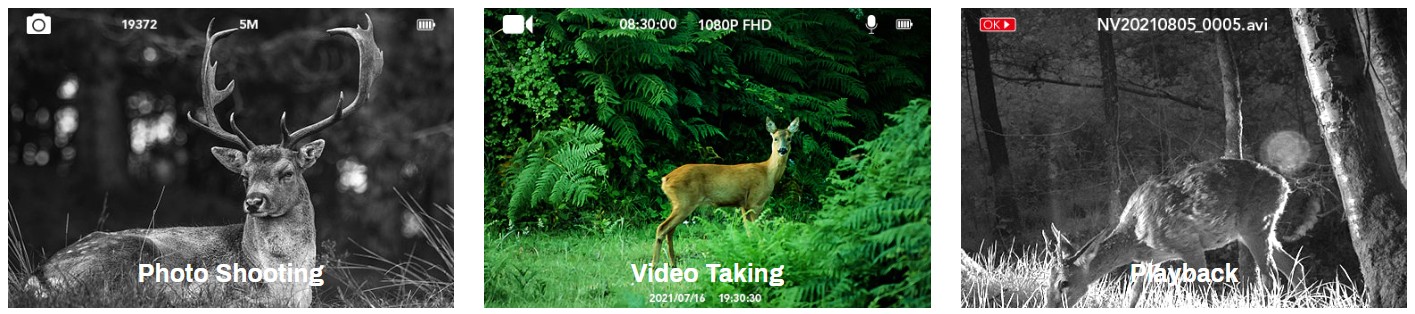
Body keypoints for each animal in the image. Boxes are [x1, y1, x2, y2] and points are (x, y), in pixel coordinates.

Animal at [27, 14, 382, 306]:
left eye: (287, 172)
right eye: (244, 175)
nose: (253, 201)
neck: (282, 284)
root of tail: (39, 275)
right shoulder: (218, 291)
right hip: (128, 256)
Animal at [648, 117, 798, 267]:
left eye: (789, 138)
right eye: (775, 138)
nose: (782, 150)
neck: (768, 173)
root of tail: (665, 179)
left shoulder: (744, 205)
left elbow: (749, 231)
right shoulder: (756, 202)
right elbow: (756, 231)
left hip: (677, 203)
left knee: (670, 230)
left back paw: (673, 264)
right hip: (685, 202)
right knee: (662, 228)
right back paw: (654, 266)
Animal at [1041, 158, 1301, 308]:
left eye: (1064, 283)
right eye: (1047, 279)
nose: (1049, 307)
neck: (1137, 237)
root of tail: (1285, 185)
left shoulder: (1189, 244)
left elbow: (1205, 292)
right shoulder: (1150, 261)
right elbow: (1133, 298)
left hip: (1256, 224)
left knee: (1270, 277)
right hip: (1262, 228)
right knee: (1293, 266)